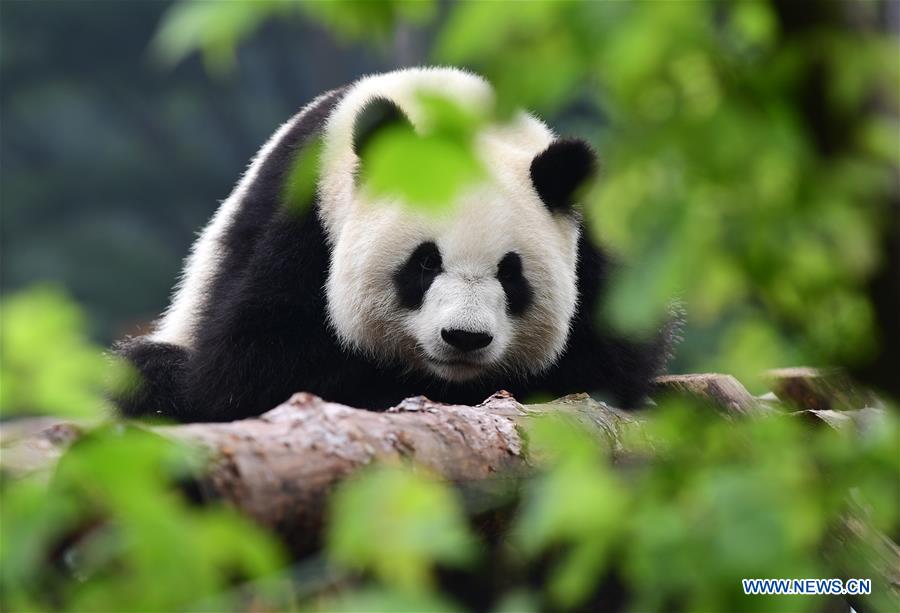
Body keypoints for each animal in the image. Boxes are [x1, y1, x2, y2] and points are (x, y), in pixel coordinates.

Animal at [114, 67, 676, 422]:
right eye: (424, 263)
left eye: (510, 273)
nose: (464, 338)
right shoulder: (303, 227)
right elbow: (254, 368)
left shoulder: (593, 261)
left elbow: (609, 365)